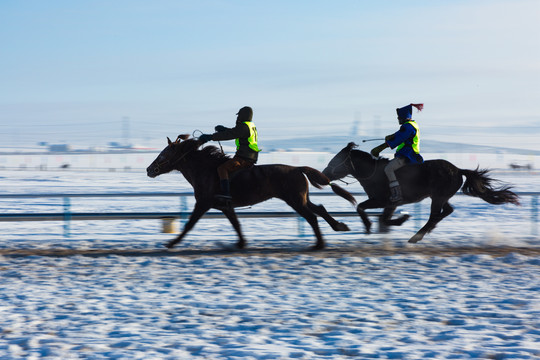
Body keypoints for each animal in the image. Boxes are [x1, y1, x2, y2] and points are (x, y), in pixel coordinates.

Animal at [148, 135, 358, 250]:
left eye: (164, 155)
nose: (149, 170)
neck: (206, 170)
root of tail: (298, 168)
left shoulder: (203, 203)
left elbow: (189, 224)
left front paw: (171, 243)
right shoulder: (225, 207)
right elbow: (236, 224)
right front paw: (241, 243)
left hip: (295, 201)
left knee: (312, 217)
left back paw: (319, 244)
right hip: (301, 199)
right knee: (319, 209)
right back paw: (338, 227)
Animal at [320, 142, 520, 243]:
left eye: (336, 159)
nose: (324, 174)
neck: (373, 173)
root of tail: (458, 169)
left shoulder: (383, 200)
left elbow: (362, 208)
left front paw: (375, 225)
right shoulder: (391, 204)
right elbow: (382, 217)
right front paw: (399, 219)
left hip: (437, 197)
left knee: (435, 215)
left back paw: (416, 236)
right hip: (440, 197)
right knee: (446, 211)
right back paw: (422, 232)